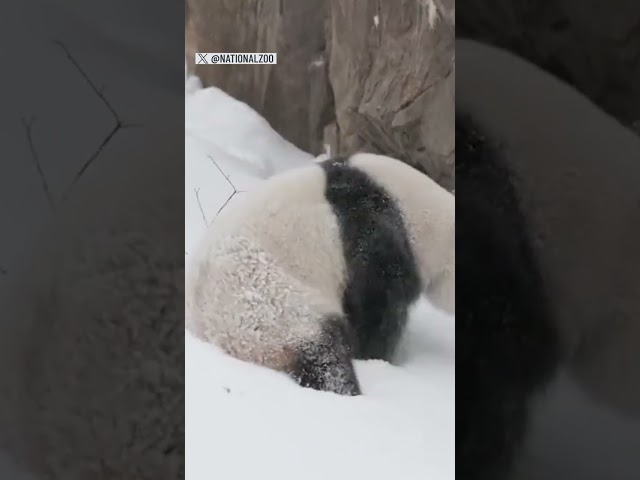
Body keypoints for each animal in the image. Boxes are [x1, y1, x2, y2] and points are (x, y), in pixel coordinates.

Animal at [185, 153, 456, 394]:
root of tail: (212, 337)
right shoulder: (372, 234)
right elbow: (376, 311)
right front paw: (378, 359)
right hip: (268, 306)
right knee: (324, 358)